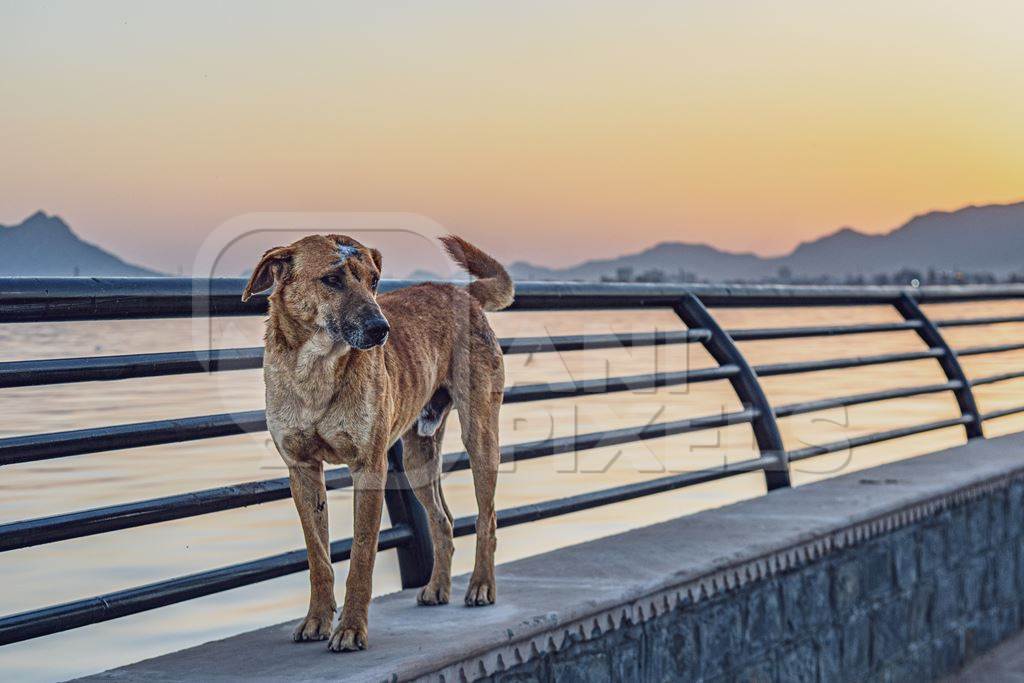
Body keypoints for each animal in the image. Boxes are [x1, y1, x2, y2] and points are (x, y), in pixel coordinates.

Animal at [239, 233, 512, 651]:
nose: (381, 329)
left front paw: (351, 628)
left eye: (374, 282)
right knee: (442, 521)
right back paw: (437, 586)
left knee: (487, 516)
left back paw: (481, 585)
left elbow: (362, 554)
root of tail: (461, 292)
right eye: (331, 280)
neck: (316, 371)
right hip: (418, 458)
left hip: (480, 436)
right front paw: (317, 620)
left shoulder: (369, 469)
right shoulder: (302, 471)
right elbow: (318, 557)